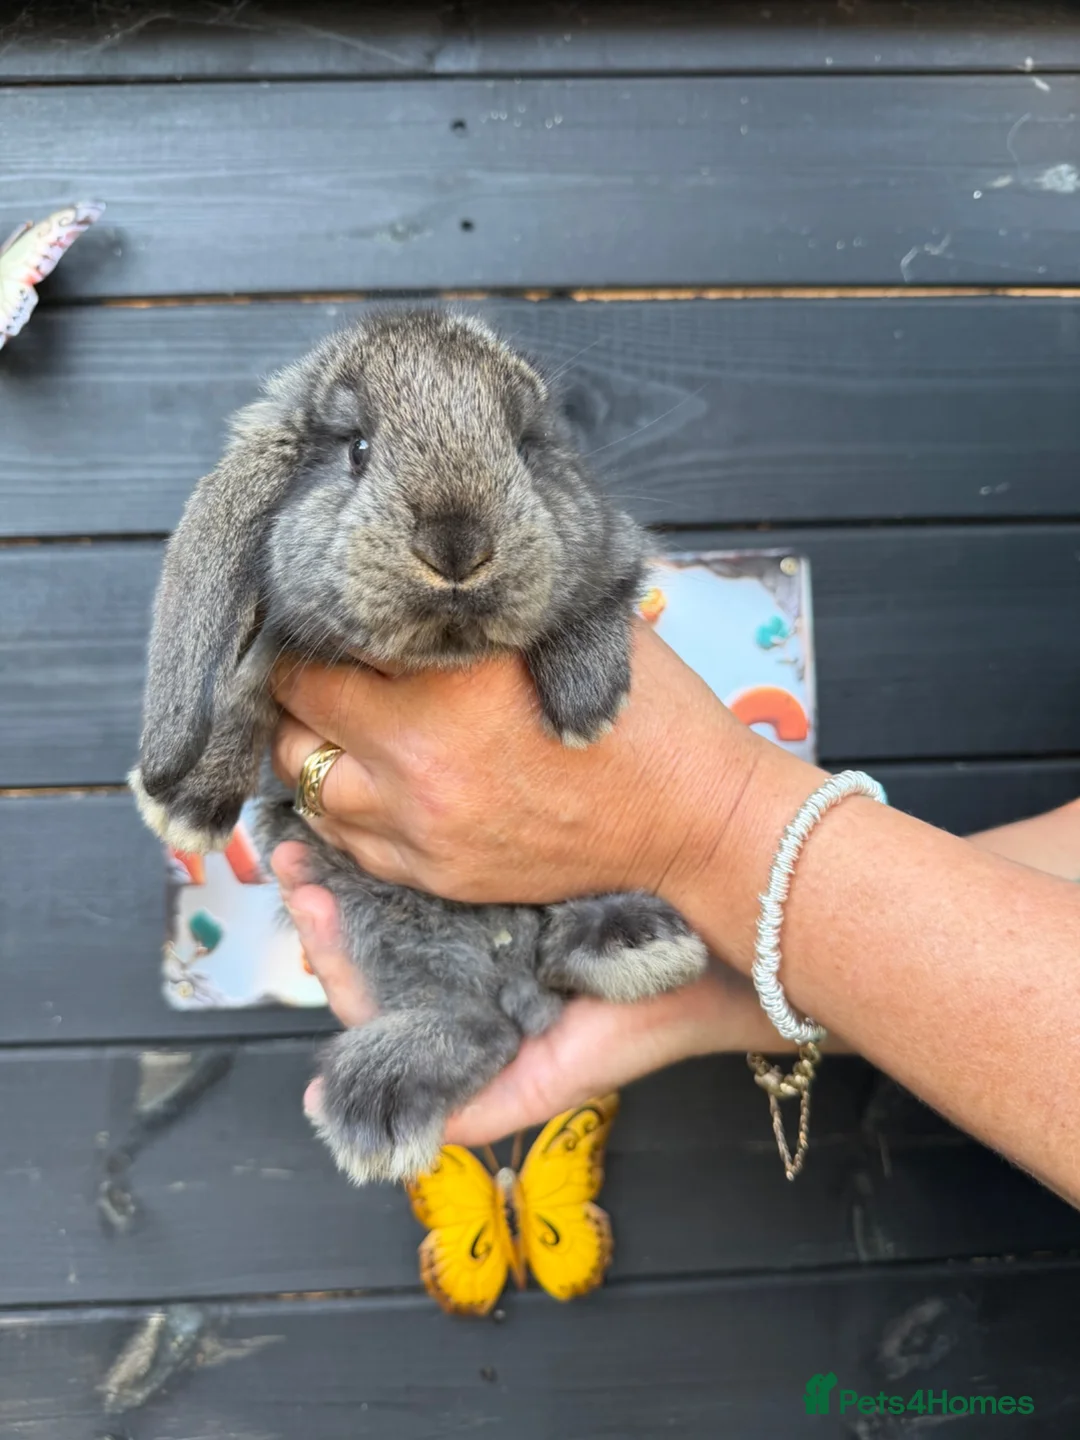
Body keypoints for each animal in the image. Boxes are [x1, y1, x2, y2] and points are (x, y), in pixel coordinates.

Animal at [130, 309, 708, 1184]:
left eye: (524, 446)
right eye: (356, 448)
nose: (457, 546)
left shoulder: (603, 549)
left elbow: (596, 596)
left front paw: (584, 701)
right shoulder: (280, 646)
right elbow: (241, 689)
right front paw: (190, 806)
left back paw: (634, 943)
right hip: (387, 914)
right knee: (481, 1021)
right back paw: (382, 1095)